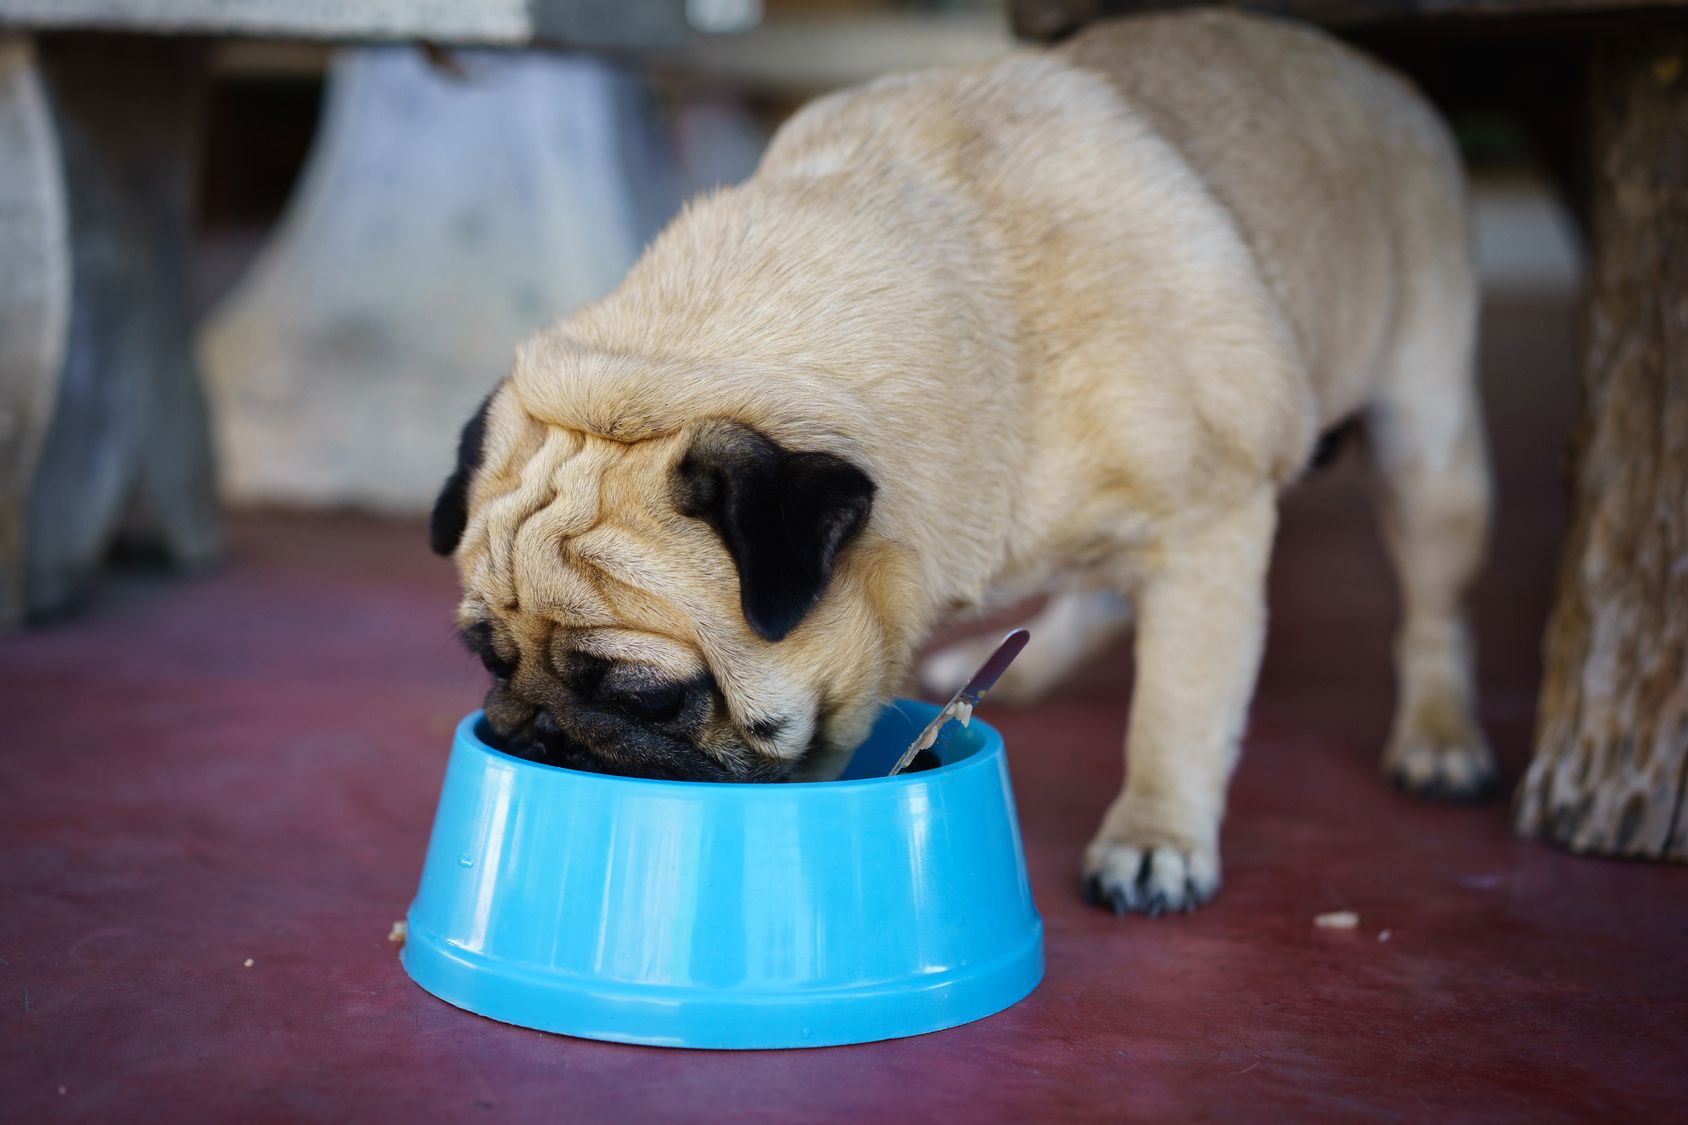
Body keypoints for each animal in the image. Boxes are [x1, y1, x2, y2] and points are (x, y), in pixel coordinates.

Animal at [432, 13, 1492, 918]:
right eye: (486, 655)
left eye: (641, 694)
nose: (531, 731)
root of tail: (1371, 68)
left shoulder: (1210, 522)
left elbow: (1178, 706)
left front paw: (1155, 836)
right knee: (1102, 591)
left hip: (1426, 446)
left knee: (1431, 610)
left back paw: (1441, 740)